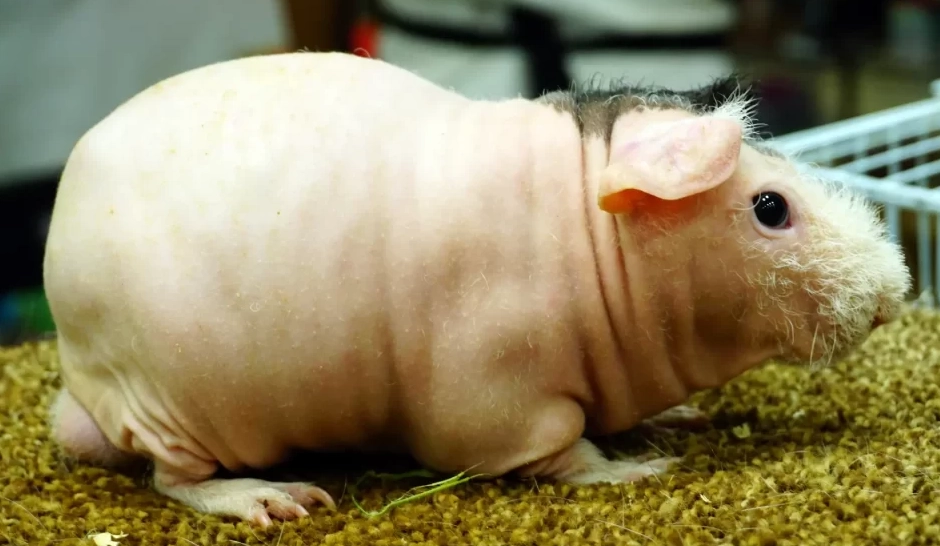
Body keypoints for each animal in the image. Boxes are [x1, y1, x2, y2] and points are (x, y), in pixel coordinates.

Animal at [43, 51, 911, 527]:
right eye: (770, 207)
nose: (893, 294)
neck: (592, 241)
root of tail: (82, 389)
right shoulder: (500, 403)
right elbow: (563, 453)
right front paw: (638, 470)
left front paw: (672, 422)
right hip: (173, 414)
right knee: (173, 479)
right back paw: (269, 499)